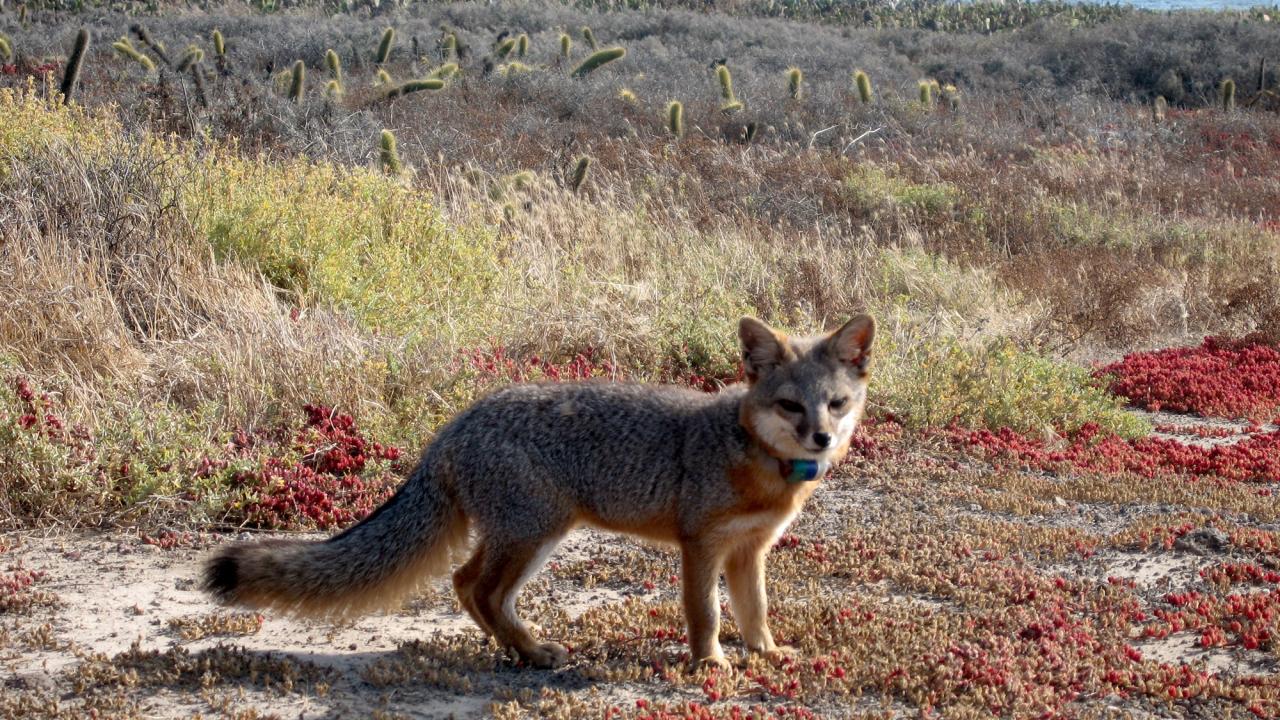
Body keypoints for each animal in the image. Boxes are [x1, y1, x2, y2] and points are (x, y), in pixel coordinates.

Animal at [202, 314, 875, 670]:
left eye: (837, 404)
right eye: (790, 406)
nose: (820, 437)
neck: (755, 460)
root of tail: (454, 426)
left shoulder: (748, 552)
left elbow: (754, 610)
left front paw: (767, 652)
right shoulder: (700, 546)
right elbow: (705, 613)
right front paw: (710, 663)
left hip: (523, 534)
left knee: (467, 584)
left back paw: (514, 649)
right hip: (537, 533)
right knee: (478, 587)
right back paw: (530, 650)